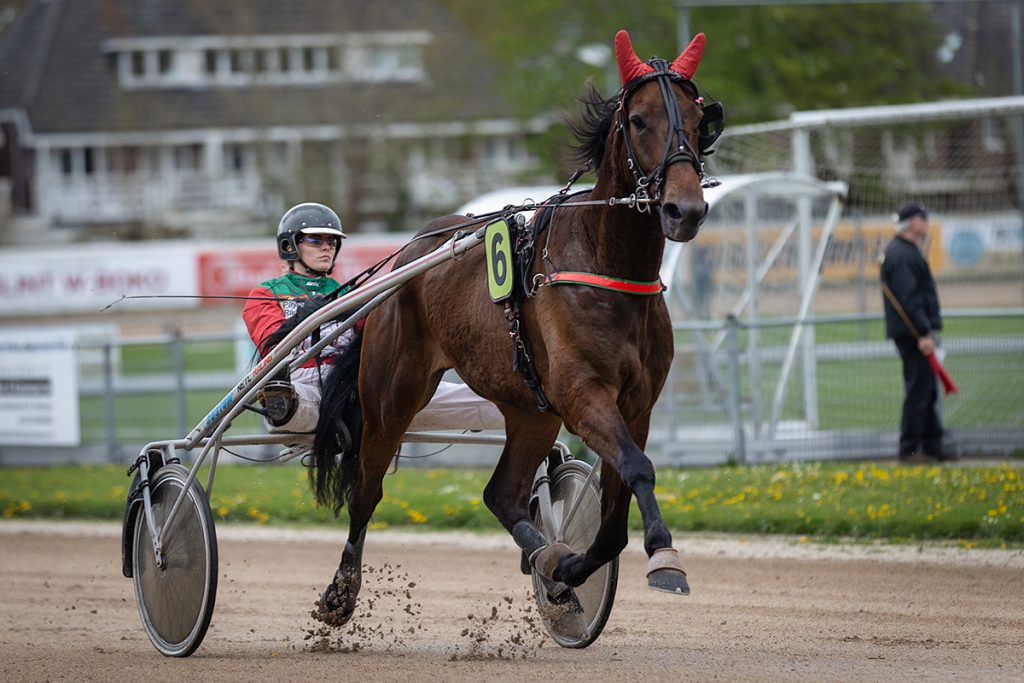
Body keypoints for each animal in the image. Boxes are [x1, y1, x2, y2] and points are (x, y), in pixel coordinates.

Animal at [309, 30, 720, 630]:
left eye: (697, 118)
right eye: (640, 119)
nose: (684, 210)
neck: (607, 266)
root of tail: (407, 256)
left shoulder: (636, 405)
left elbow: (614, 519)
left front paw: (565, 568)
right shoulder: (584, 396)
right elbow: (639, 470)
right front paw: (665, 558)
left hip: (529, 410)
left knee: (501, 494)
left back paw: (546, 561)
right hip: (391, 399)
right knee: (367, 491)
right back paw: (340, 592)